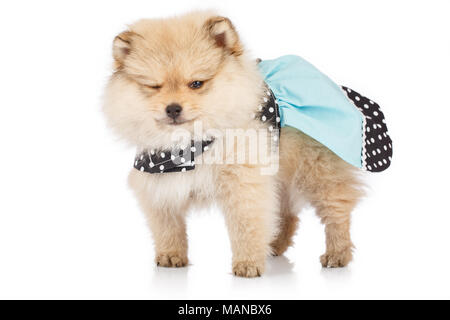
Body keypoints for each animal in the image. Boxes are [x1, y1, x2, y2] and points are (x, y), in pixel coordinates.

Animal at [102, 11, 362, 278]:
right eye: (154, 86)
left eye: (197, 83)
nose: (173, 108)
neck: (191, 145)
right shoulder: (160, 183)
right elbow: (168, 226)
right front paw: (171, 255)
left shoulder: (243, 183)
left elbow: (246, 225)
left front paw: (248, 263)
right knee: (286, 214)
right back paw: (275, 245)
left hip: (319, 172)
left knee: (337, 212)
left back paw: (337, 253)